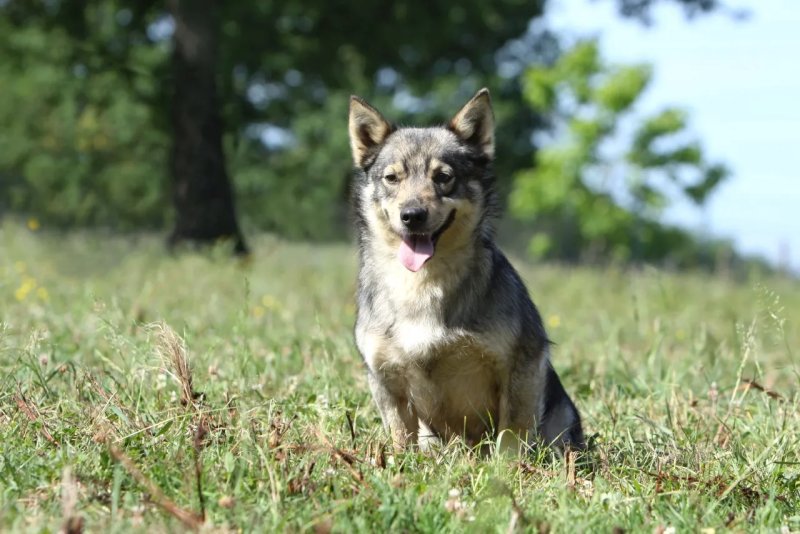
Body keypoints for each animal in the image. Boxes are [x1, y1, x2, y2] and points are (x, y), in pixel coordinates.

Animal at [346, 89, 584, 456]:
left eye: (443, 177)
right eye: (392, 178)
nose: (412, 215)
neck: (423, 282)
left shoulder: (524, 364)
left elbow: (512, 433)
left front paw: (508, 467)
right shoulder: (384, 378)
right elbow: (400, 437)